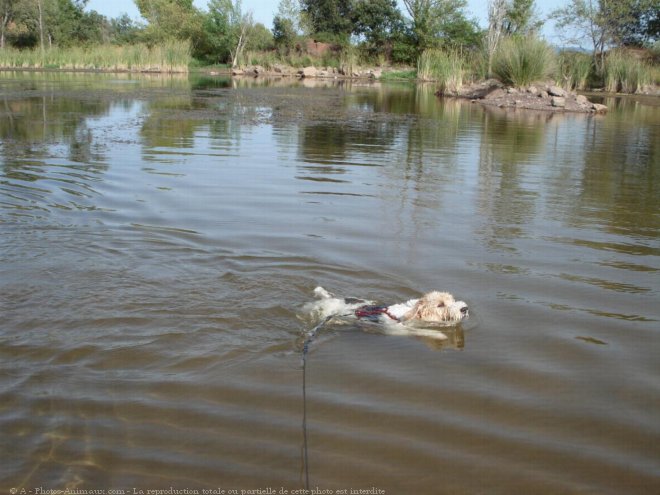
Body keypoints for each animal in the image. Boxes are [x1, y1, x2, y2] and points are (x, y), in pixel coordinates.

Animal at [306, 286, 470, 340]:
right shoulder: (398, 329)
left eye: (452, 300)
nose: (465, 308)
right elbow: (421, 331)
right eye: (440, 305)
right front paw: (440, 335)